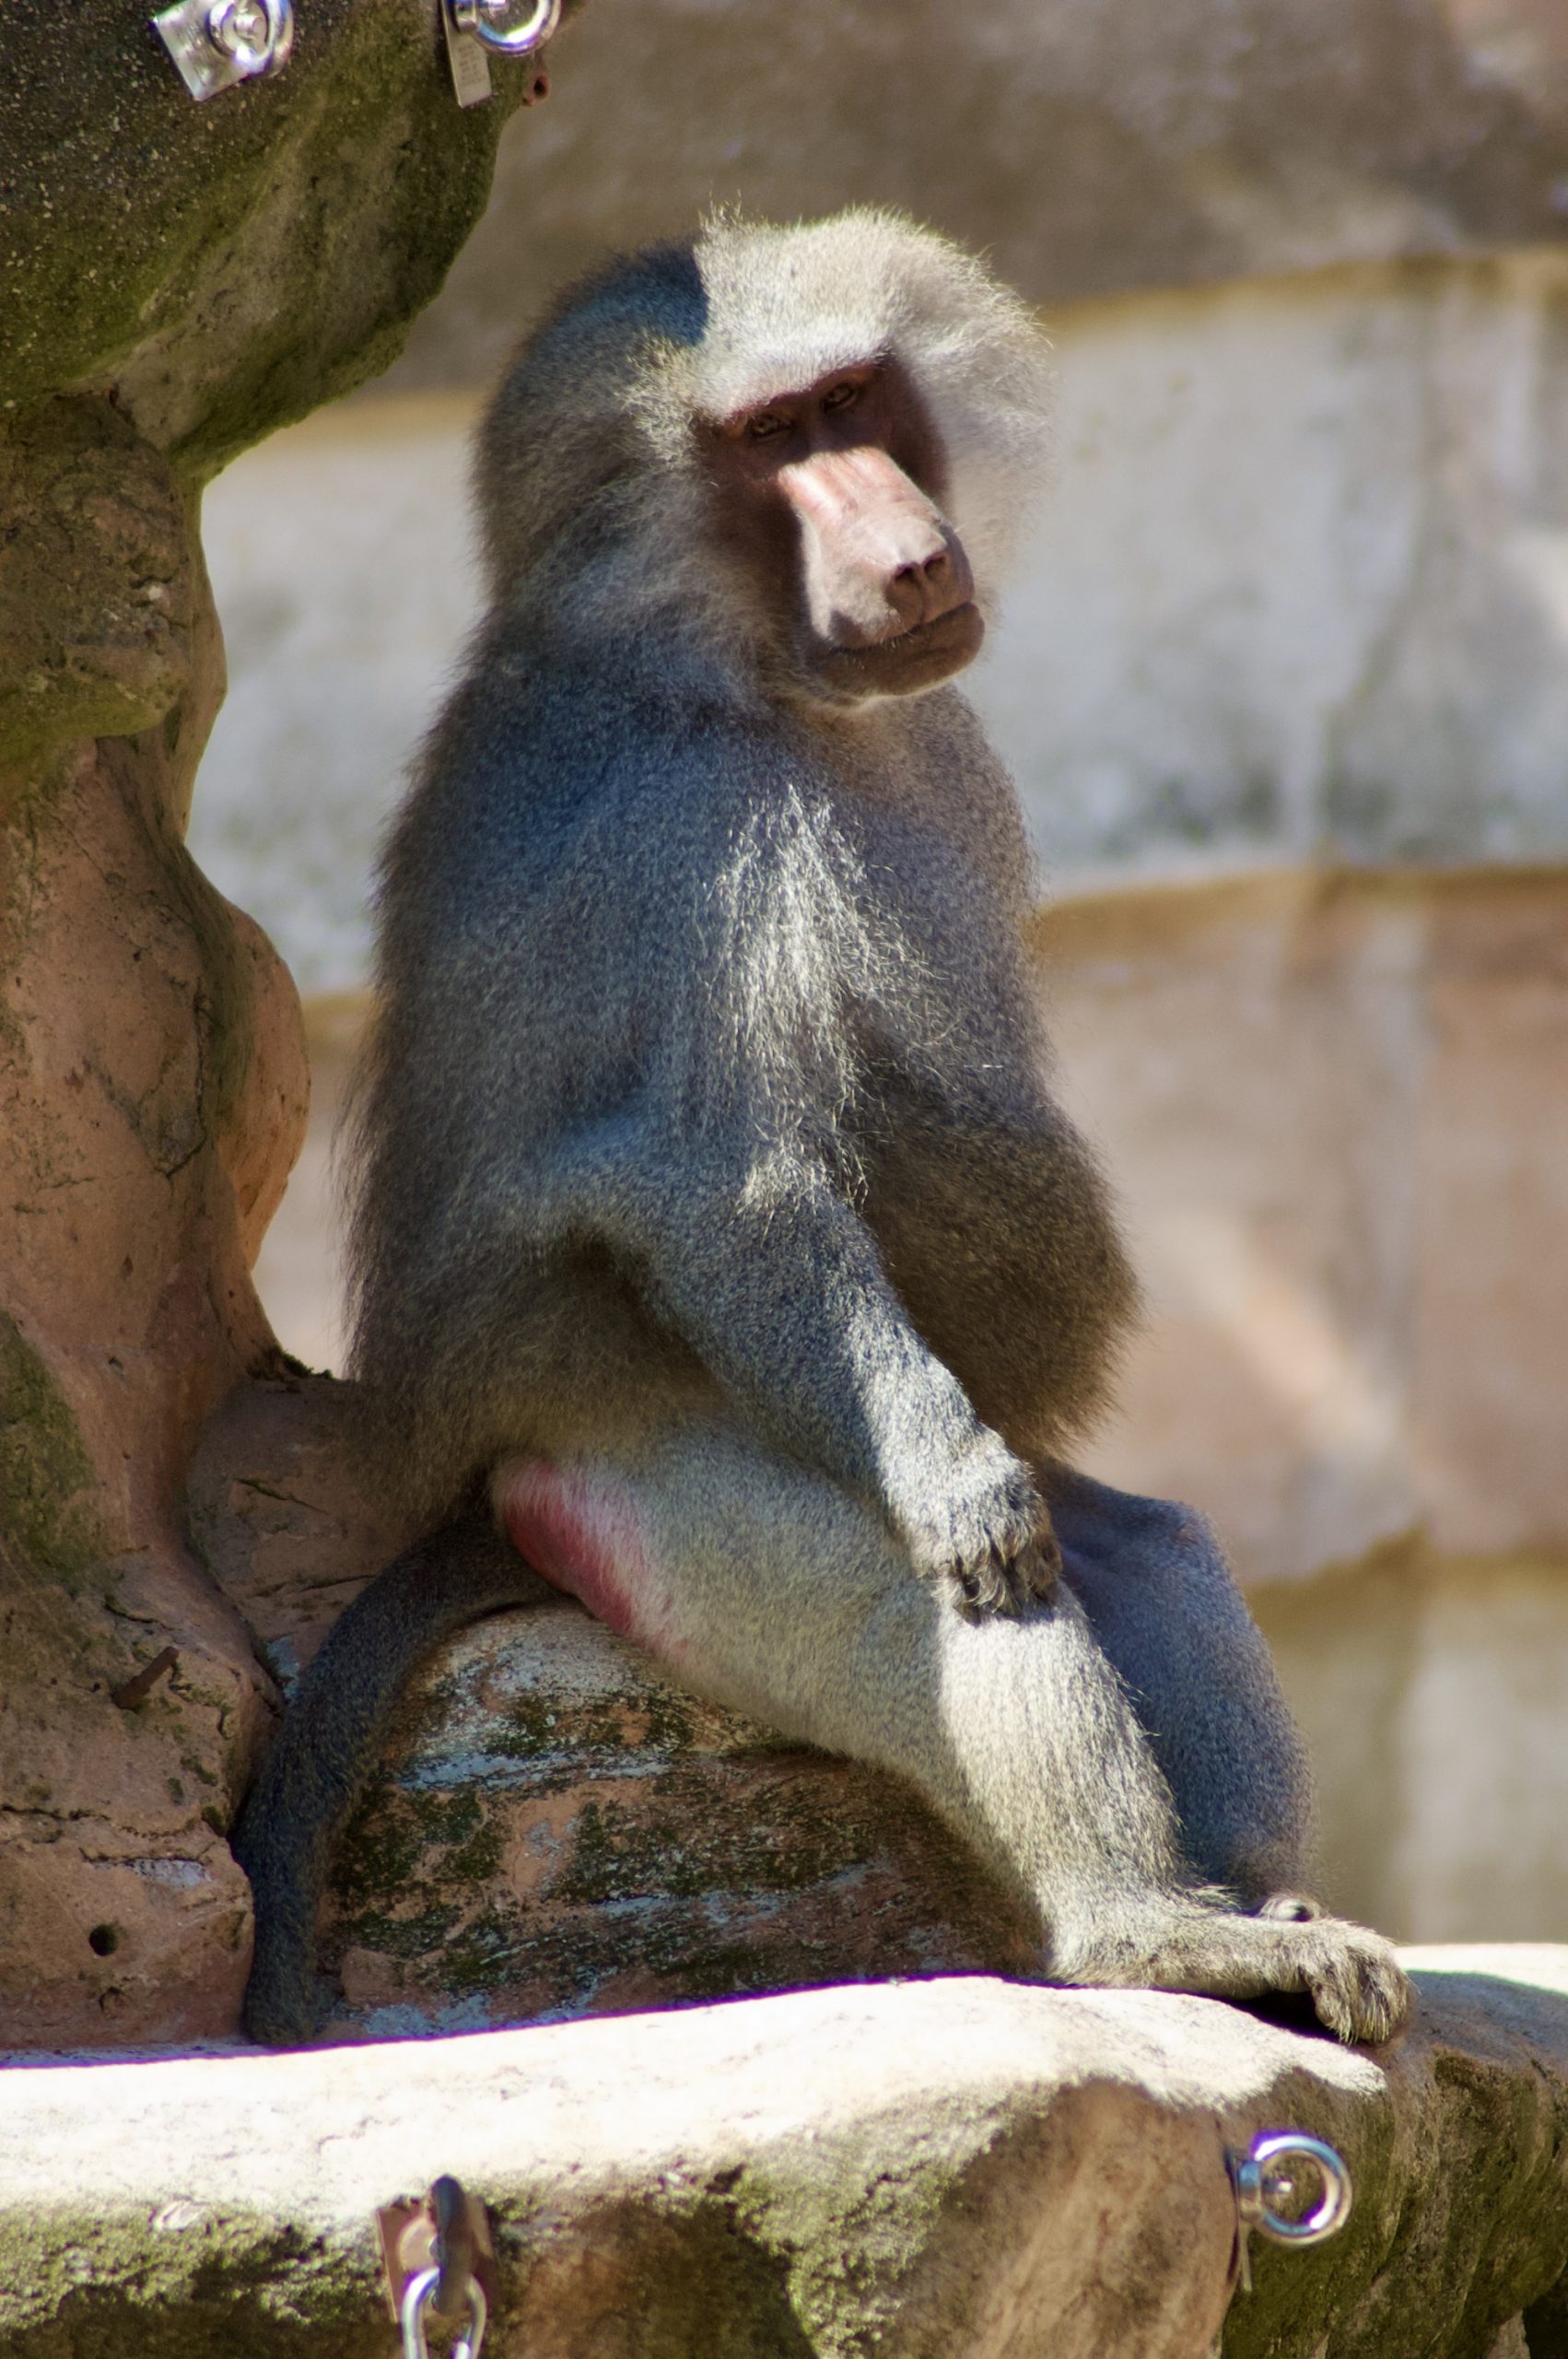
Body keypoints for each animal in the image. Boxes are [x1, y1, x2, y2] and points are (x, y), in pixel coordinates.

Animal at [233, 210, 1412, 2052]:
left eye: (853, 401)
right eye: (769, 443)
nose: (909, 558)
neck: (729, 668)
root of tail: (488, 1492)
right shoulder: (703, 844)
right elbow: (723, 1190)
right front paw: (954, 1489)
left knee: (1138, 1546)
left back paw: (1259, 1906)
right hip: (649, 1494)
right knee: (962, 1581)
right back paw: (1147, 1935)